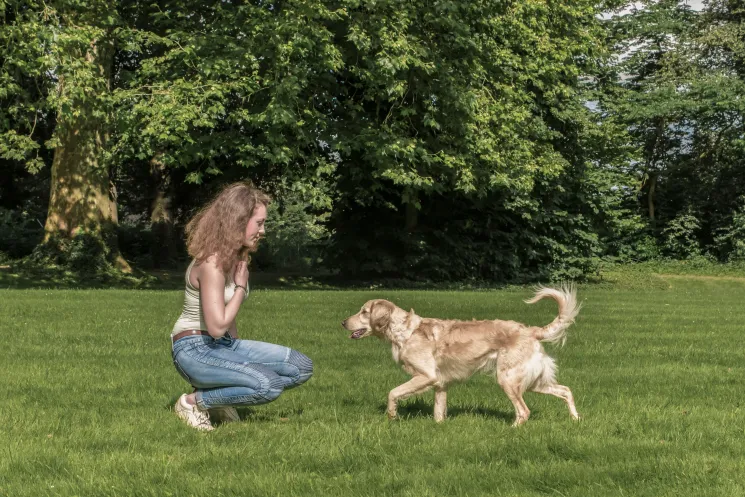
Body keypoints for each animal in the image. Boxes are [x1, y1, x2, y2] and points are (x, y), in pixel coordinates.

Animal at [342, 284, 580, 424]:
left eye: (364, 312)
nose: (343, 322)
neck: (406, 332)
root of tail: (530, 330)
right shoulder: (440, 384)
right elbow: (438, 412)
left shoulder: (426, 376)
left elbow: (393, 393)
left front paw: (392, 415)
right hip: (532, 381)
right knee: (566, 391)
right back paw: (575, 419)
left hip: (508, 379)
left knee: (524, 411)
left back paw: (512, 429)